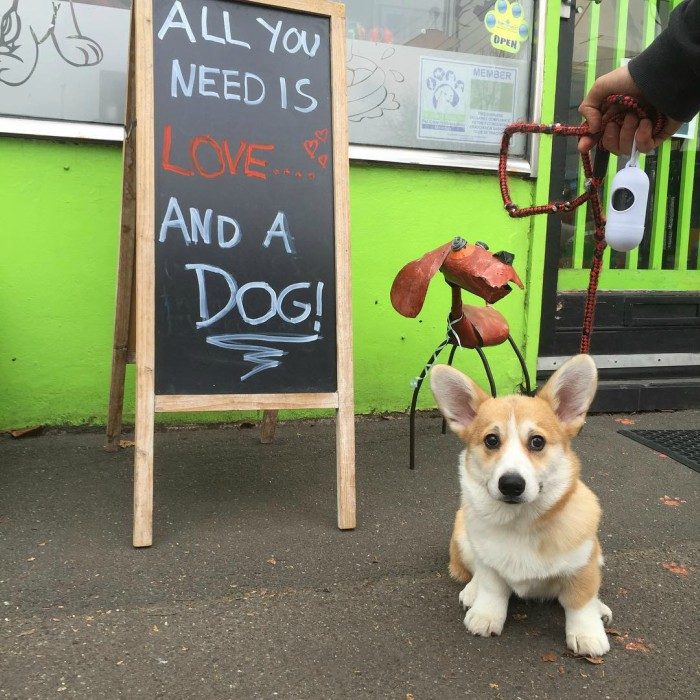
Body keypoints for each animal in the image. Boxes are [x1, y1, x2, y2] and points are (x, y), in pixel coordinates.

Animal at [432, 356, 612, 656]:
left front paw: (587, 634)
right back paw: (471, 592)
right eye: (491, 440)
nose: (511, 484)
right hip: (463, 537)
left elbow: (580, 601)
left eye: (537, 442)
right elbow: (491, 586)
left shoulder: (583, 565)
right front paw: (486, 615)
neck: (521, 522)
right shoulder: (487, 562)